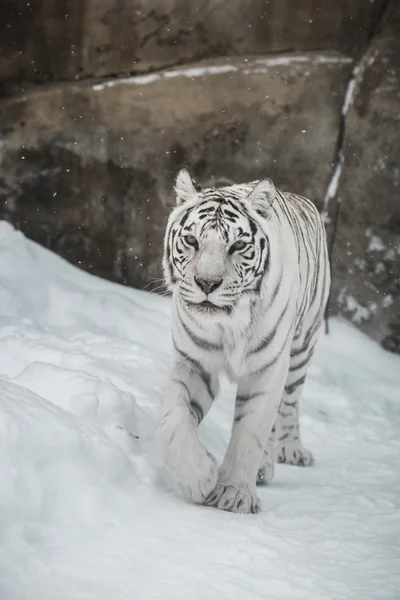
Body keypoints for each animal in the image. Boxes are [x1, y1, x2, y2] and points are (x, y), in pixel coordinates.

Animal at [158, 166, 330, 512]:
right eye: (191, 240)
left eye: (237, 246)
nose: (206, 282)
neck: (227, 324)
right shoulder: (194, 362)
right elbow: (174, 421)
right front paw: (199, 478)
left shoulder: (267, 369)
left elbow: (250, 432)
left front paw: (234, 493)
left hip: (302, 347)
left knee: (289, 405)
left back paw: (291, 451)